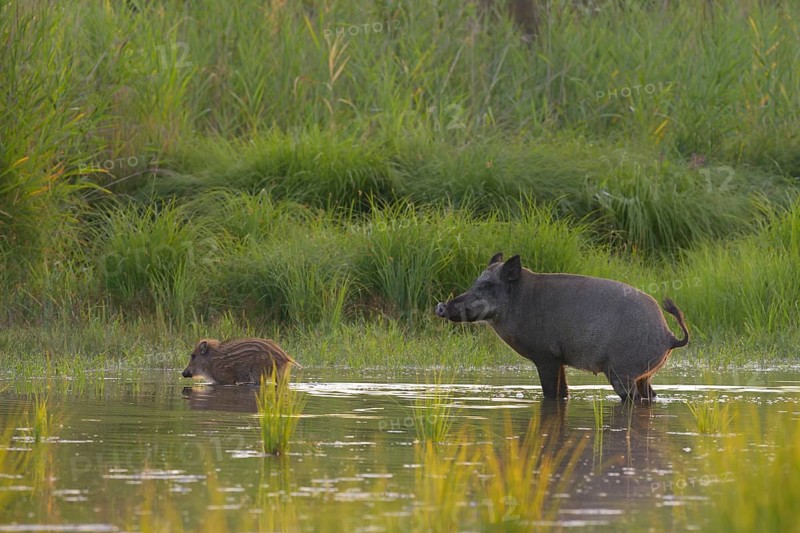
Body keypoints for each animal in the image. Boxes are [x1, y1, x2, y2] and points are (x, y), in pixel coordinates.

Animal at [435, 253, 689, 402]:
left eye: (486, 285)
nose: (441, 307)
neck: (518, 302)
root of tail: (669, 336)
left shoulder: (545, 356)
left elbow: (551, 392)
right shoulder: (559, 360)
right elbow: (563, 392)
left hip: (622, 371)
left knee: (633, 399)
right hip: (644, 374)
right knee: (650, 396)